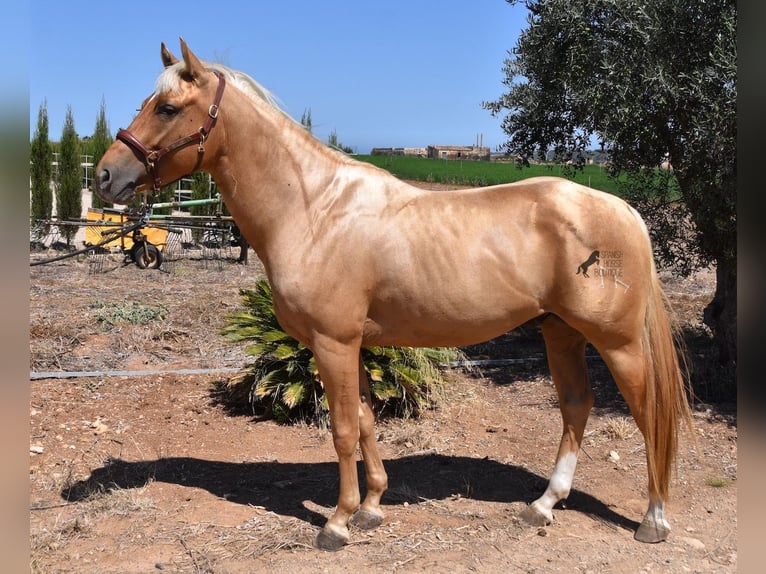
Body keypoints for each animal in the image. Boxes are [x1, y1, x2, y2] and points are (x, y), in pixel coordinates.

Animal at [94, 38, 696, 552]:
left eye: (167, 108)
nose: (104, 177)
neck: (314, 208)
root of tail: (624, 210)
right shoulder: (353, 346)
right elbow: (364, 421)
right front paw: (370, 509)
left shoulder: (333, 343)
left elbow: (341, 430)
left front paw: (337, 523)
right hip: (561, 333)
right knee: (576, 406)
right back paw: (544, 505)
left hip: (617, 343)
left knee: (648, 412)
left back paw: (653, 520)